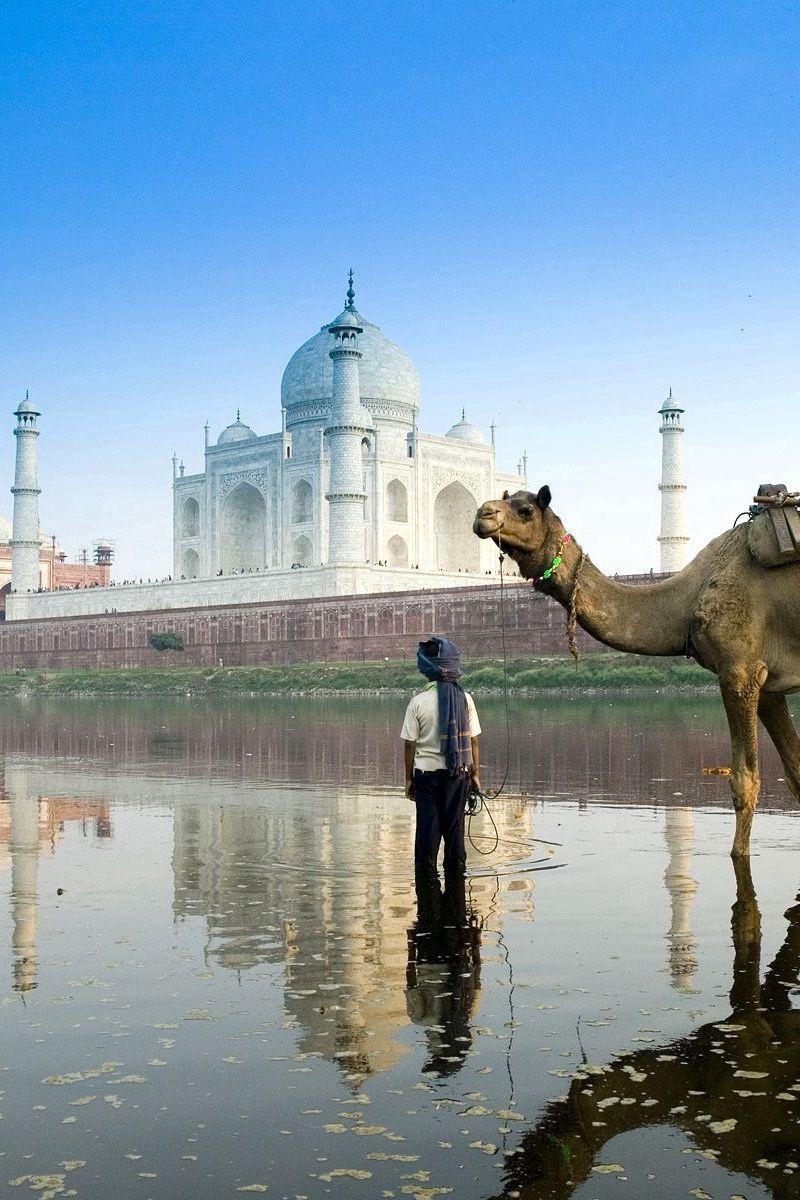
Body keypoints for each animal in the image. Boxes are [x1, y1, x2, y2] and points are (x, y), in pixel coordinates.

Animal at [473, 487, 800, 858]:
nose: (483, 514)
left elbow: (744, 782)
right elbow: (795, 772)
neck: (686, 599)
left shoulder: (739, 668)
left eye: (526, 510)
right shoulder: (768, 685)